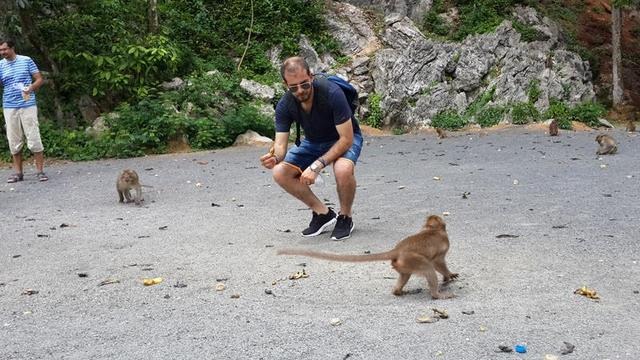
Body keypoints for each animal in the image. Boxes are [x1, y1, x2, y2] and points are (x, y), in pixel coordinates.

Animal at [278, 215, 458, 300]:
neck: (433, 230)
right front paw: (449, 275)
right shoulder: (444, 245)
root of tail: (397, 249)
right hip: (413, 259)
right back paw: (437, 295)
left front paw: (448, 277)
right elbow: (438, 262)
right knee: (428, 268)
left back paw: (398, 292)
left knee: (405, 275)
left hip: (404, 263)